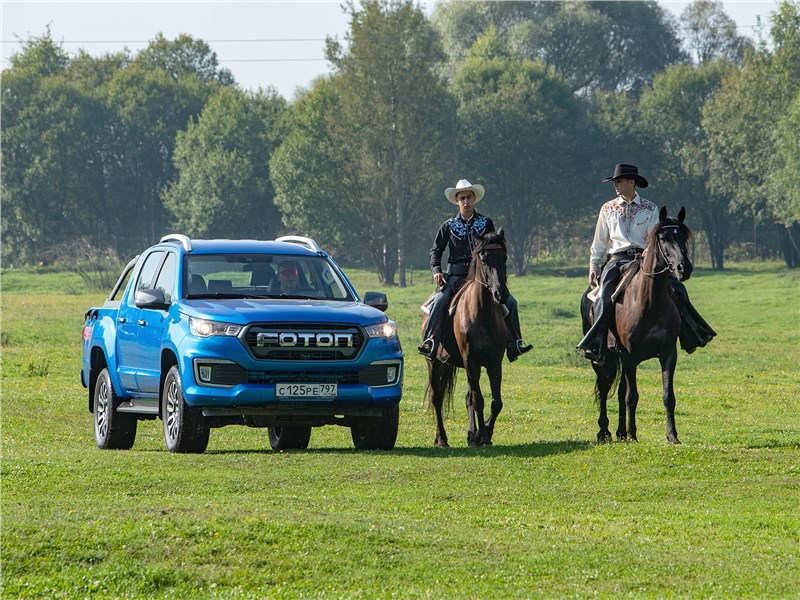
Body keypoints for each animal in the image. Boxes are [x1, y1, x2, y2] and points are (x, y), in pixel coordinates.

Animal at [422, 230, 510, 446]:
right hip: (433, 361)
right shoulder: (471, 361)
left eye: (504, 257)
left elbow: (495, 402)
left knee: (467, 396)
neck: (483, 314)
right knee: (437, 397)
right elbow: (478, 400)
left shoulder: (494, 362)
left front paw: (484, 432)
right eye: (484, 259)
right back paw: (442, 439)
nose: (500, 294)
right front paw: (483, 436)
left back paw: (471, 434)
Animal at [580, 207, 692, 446]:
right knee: (604, 387)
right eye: (662, 238)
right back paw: (604, 432)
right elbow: (632, 396)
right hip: (602, 357)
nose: (683, 268)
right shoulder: (629, 355)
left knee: (620, 390)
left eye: (683, 237)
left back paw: (621, 431)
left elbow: (667, 396)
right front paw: (633, 433)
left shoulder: (668, 353)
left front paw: (672, 435)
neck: (649, 303)